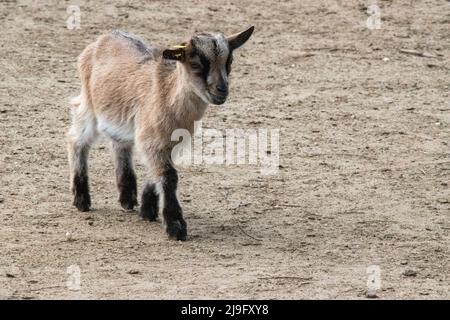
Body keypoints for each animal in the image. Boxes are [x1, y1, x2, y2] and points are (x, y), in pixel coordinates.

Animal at [68, 26, 255, 240]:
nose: (222, 90)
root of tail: (103, 38)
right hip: (89, 105)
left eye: (229, 62)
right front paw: (175, 226)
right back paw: (82, 200)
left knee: (119, 143)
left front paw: (147, 210)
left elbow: (157, 172)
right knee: (76, 139)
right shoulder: (151, 139)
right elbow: (168, 174)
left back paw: (127, 198)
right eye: (195, 63)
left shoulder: (169, 142)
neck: (167, 94)